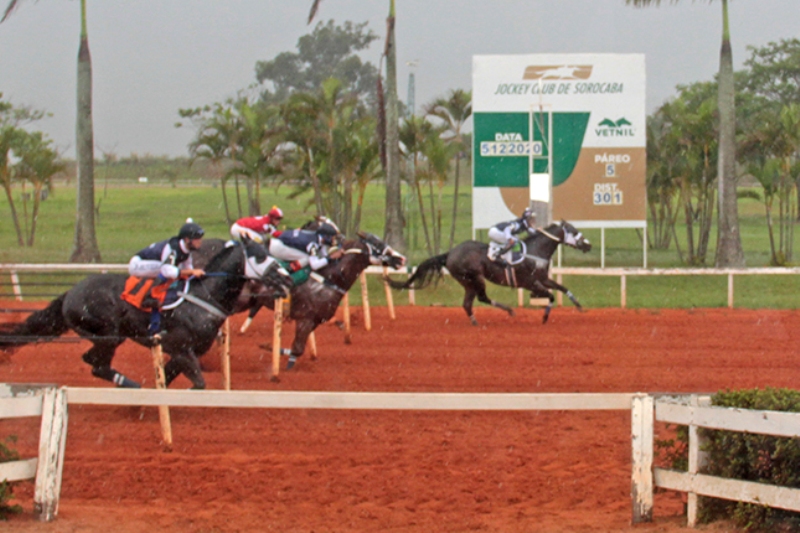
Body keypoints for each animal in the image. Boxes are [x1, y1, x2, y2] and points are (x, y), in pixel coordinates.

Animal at [0, 241, 294, 386]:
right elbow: (198, 383)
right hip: (107, 333)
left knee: (95, 362)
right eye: (260, 257)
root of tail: (70, 292)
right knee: (95, 363)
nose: (288, 278)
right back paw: (127, 383)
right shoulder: (180, 348)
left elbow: (170, 377)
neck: (203, 296)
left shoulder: (185, 352)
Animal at [384, 220, 592, 324]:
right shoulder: (529, 283)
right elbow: (550, 296)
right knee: (478, 299)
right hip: (473, 277)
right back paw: (500, 314)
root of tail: (450, 253)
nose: (588, 245)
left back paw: (482, 319)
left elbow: (562, 288)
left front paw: (579, 306)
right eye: (574, 231)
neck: (535, 251)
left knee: (469, 303)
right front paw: (545, 316)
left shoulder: (543, 278)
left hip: (468, 281)